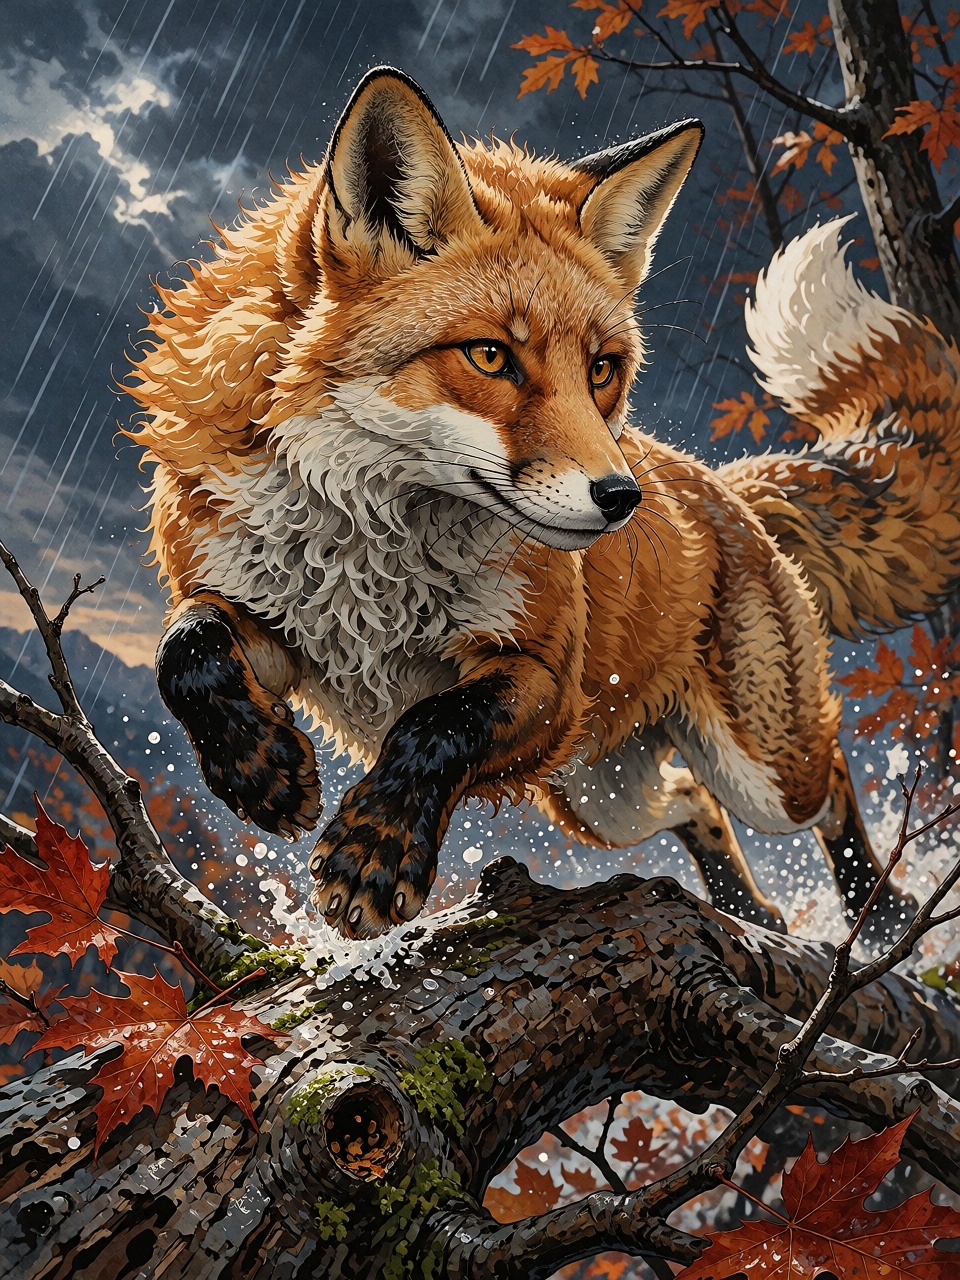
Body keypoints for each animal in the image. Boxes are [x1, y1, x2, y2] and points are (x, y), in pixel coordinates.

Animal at [126, 67, 960, 940]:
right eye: (492, 356)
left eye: (601, 370)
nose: (622, 497)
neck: (367, 544)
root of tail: (723, 489)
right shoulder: (277, 629)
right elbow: (185, 650)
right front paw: (258, 770)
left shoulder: (542, 678)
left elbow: (434, 725)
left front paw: (375, 851)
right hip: (602, 799)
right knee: (690, 802)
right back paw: (745, 908)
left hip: (757, 770)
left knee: (826, 777)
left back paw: (884, 910)